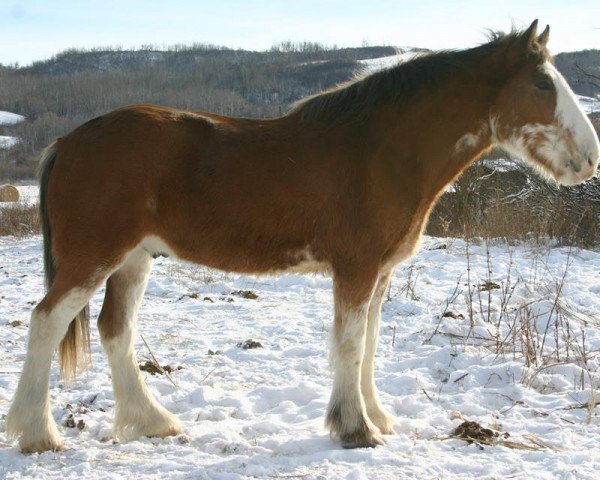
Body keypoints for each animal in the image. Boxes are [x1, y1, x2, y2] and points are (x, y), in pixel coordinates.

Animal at [4, 20, 600, 452]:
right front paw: (356, 429)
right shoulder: (356, 268)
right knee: (46, 322)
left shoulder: (379, 273)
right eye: (542, 83)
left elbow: (369, 346)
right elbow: (350, 344)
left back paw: (153, 421)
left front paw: (378, 418)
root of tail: (67, 140)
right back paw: (38, 434)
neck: (378, 153)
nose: (590, 158)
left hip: (134, 259)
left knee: (115, 330)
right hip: (93, 257)